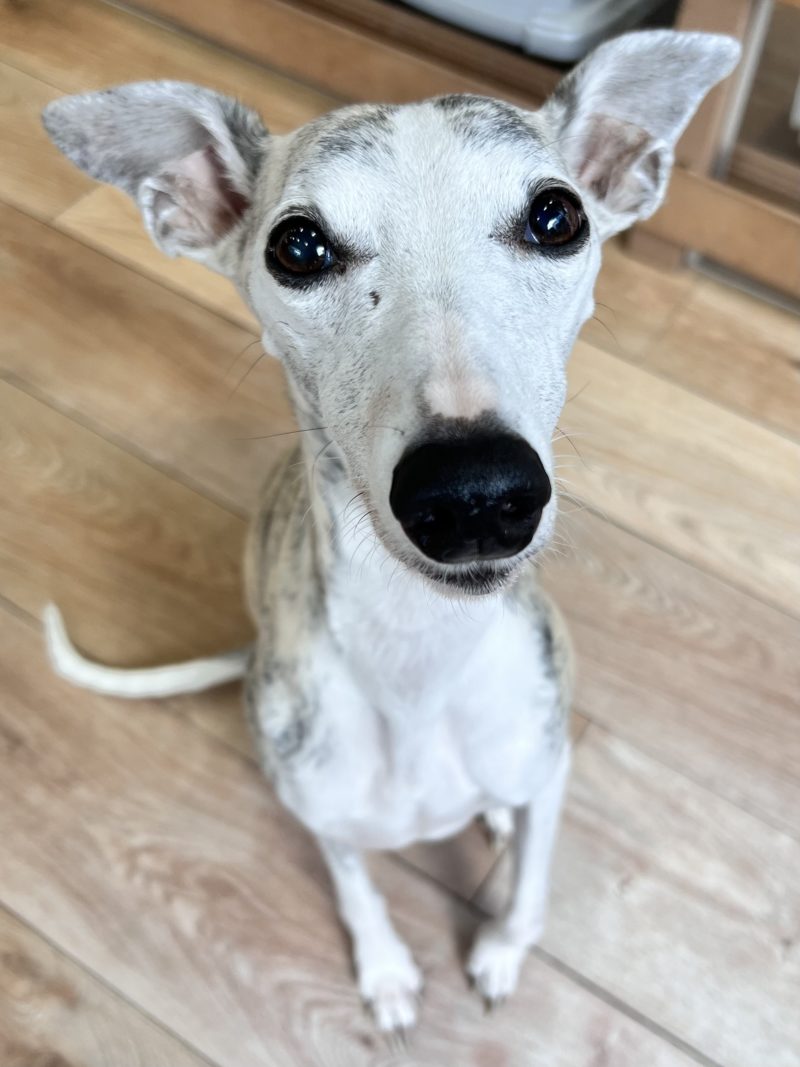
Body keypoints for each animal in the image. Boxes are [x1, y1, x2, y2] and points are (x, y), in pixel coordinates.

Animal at [42, 29, 738, 1034]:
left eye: (558, 216)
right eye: (298, 245)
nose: (476, 495)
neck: (418, 658)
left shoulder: (549, 765)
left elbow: (530, 884)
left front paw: (498, 952)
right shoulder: (325, 812)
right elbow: (355, 886)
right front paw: (385, 972)